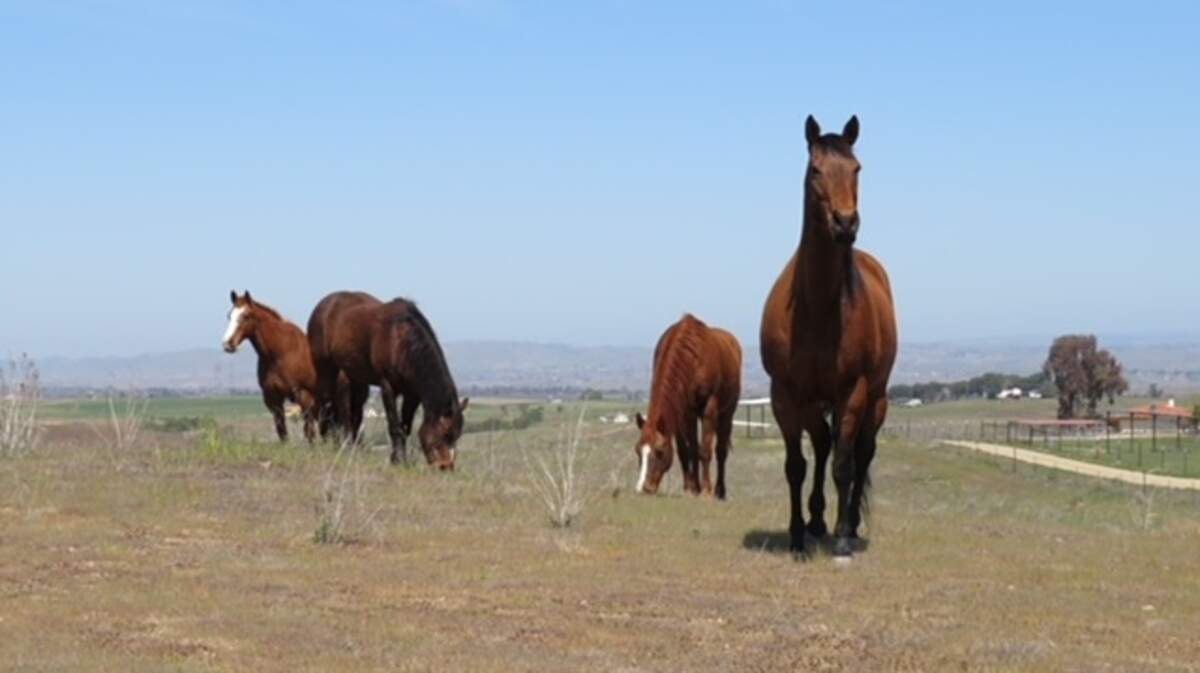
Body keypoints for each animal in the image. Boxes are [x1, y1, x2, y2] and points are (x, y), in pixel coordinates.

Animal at [221, 290, 319, 442]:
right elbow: (282, 433)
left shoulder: (305, 397)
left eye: (246, 315)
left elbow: (309, 434)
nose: (227, 344)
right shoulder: (273, 399)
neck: (281, 353)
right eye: (229, 315)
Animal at [306, 291, 468, 469]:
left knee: (351, 413)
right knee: (333, 408)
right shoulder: (387, 386)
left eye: (457, 435)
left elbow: (405, 426)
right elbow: (394, 425)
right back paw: (334, 444)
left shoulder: (412, 394)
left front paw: (399, 458)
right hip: (328, 371)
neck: (399, 340)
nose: (446, 466)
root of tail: (323, 305)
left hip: (357, 382)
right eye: (445, 433)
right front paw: (398, 460)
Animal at [634, 314, 742, 499]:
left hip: (727, 413)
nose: (645, 488)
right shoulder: (681, 410)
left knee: (721, 451)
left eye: (659, 452)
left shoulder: (708, 409)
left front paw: (706, 490)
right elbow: (686, 450)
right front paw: (691, 488)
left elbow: (704, 450)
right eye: (638, 451)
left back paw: (719, 491)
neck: (691, 358)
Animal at [759, 115, 897, 558]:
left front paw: (840, 539)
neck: (817, 306)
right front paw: (798, 536)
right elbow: (796, 465)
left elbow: (843, 465)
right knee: (821, 445)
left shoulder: (851, 392)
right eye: (816, 169)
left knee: (861, 454)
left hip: (876, 397)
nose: (845, 223)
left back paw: (847, 525)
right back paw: (816, 520)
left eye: (857, 168)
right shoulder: (786, 393)